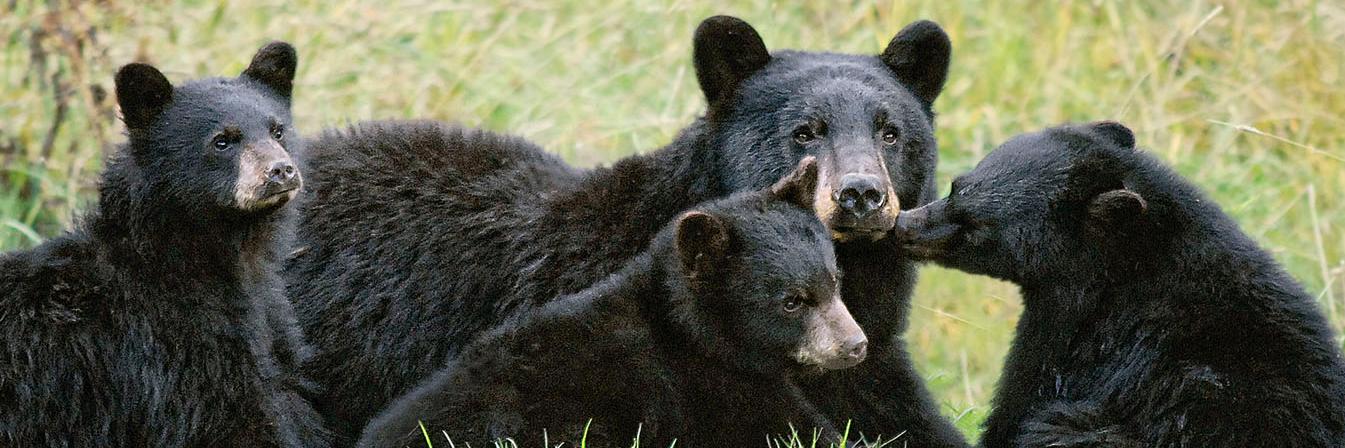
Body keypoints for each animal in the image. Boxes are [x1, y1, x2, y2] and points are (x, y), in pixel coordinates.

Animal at [356, 159, 867, 447]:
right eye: (791, 301)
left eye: (834, 280)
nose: (856, 345)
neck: (689, 331)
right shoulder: (708, 387)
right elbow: (791, 428)